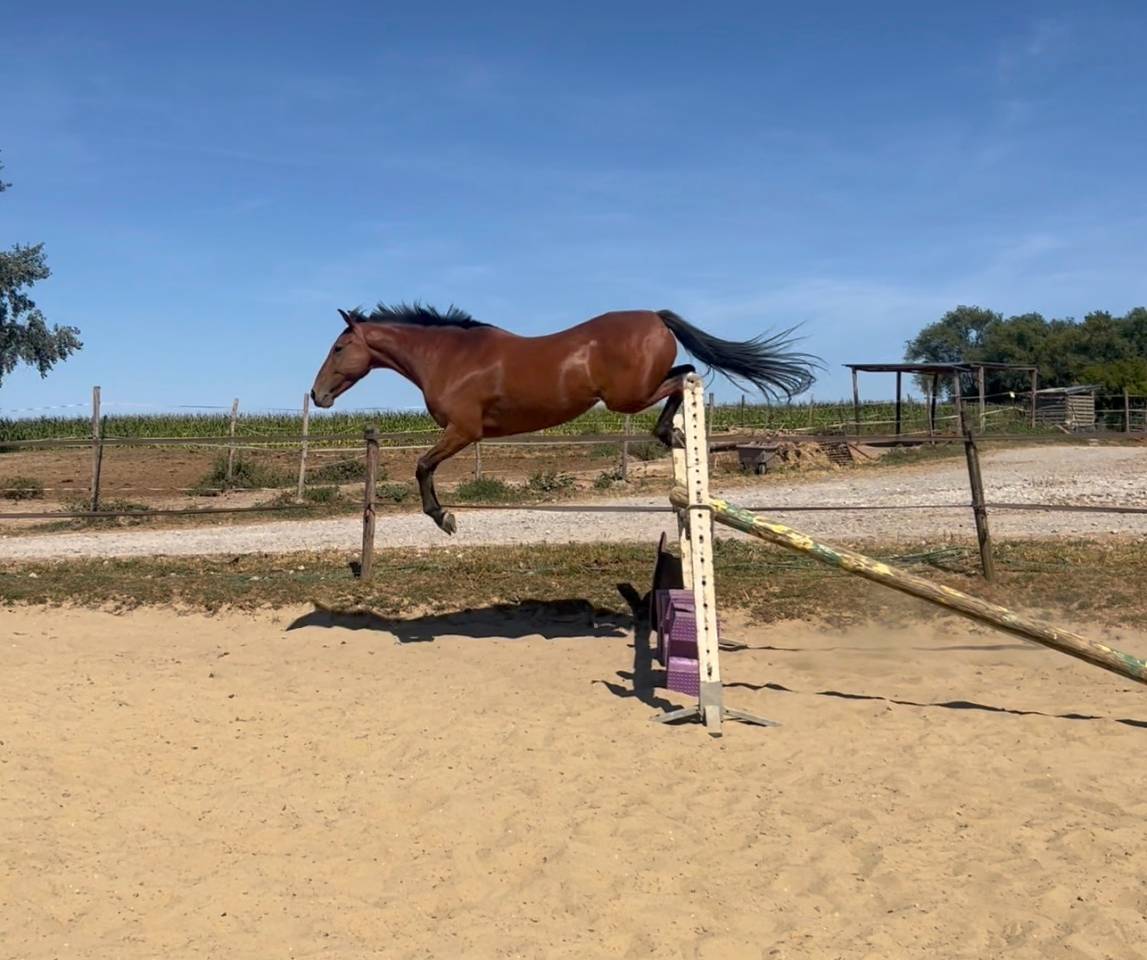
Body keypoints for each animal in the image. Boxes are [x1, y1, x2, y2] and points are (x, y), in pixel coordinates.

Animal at [310, 303, 816, 534]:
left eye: (338, 347)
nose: (317, 395)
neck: (449, 357)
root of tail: (655, 317)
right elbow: (423, 466)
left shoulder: (463, 431)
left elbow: (421, 466)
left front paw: (444, 518)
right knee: (687, 371)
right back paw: (672, 433)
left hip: (627, 398)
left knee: (682, 381)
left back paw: (667, 433)